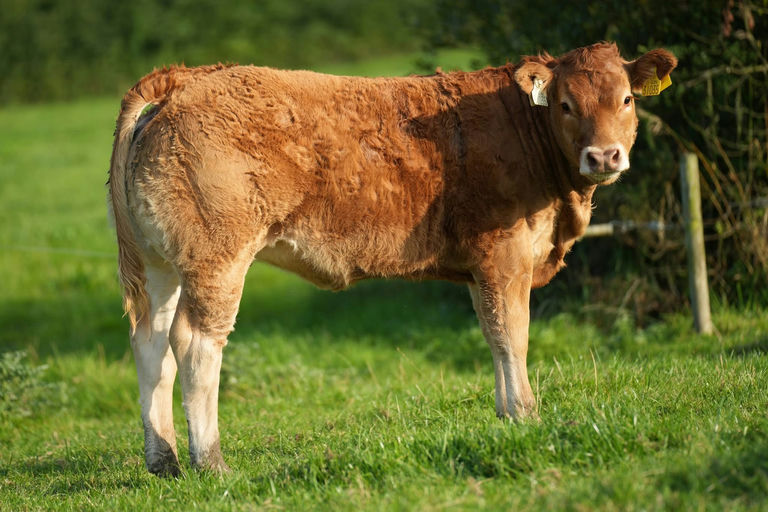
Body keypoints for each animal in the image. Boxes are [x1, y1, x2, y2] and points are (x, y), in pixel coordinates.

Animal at [107, 42, 676, 475]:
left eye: (627, 99)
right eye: (565, 105)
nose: (604, 156)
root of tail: (185, 78)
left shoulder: (480, 268)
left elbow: (491, 334)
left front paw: (504, 415)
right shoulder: (504, 255)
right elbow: (512, 336)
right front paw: (526, 415)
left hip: (160, 263)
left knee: (150, 342)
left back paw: (163, 460)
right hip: (217, 257)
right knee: (195, 342)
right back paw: (212, 463)